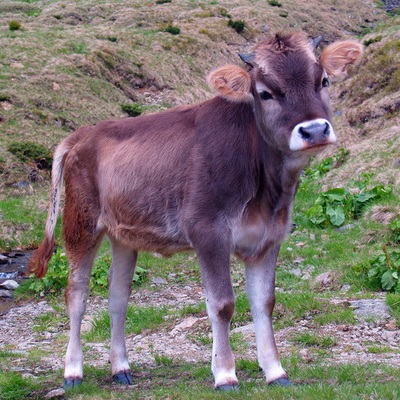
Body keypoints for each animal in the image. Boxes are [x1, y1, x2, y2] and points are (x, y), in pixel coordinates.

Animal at [29, 32, 362, 390]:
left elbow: (264, 303)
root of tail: (82, 133)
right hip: (81, 223)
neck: (267, 190)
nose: (313, 131)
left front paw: (275, 371)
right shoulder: (208, 230)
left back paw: (120, 368)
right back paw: (73, 371)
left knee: (118, 297)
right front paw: (226, 374)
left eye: (324, 81)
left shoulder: (269, 237)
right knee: (77, 296)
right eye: (265, 93)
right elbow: (222, 304)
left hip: (124, 234)